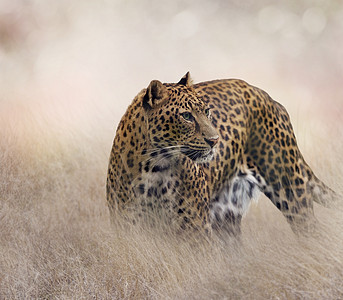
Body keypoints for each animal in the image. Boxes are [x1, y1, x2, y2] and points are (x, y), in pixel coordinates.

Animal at [107, 72, 338, 234]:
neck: (155, 165)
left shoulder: (195, 228)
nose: (215, 140)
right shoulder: (126, 224)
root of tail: (268, 97)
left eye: (207, 111)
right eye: (186, 116)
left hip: (290, 189)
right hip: (227, 218)